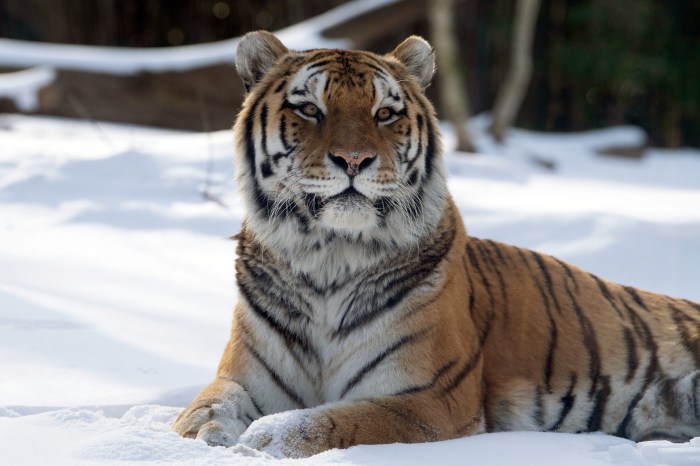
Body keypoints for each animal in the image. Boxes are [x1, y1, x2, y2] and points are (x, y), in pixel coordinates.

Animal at [171, 31, 700, 456]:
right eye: (309, 109)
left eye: (385, 114)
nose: (353, 159)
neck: (329, 256)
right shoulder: (241, 376)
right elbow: (205, 408)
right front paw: (202, 438)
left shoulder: (430, 398)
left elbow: (339, 419)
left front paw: (265, 438)